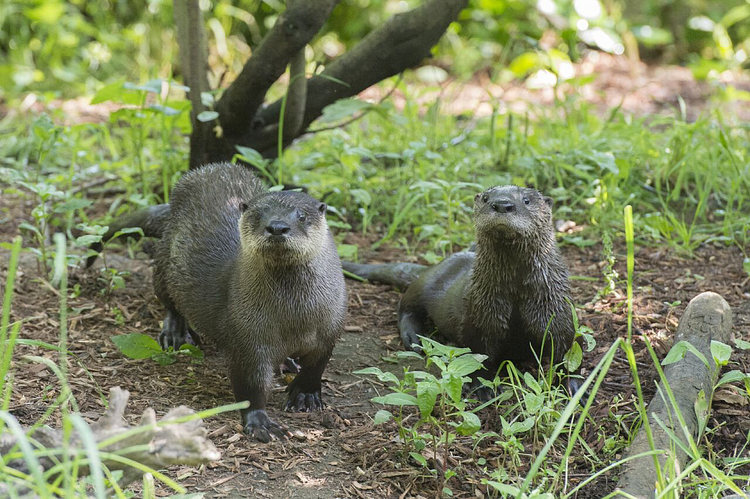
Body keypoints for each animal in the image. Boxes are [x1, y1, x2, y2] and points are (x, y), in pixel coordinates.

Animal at [88, 162, 347, 442]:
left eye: (301, 216)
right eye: (258, 215)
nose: (277, 226)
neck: (294, 318)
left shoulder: (329, 330)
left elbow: (316, 366)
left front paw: (306, 395)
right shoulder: (248, 338)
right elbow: (250, 384)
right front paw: (260, 422)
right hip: (164, 263)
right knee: (169, 300)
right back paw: (175, 333)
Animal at [343, 186, 580, 396]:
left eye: (527, 200)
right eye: (486, 198)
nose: (502, 204)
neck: (516, 294)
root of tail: (434, 266)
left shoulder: (557, 314)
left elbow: (566, 355)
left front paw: (573, 389)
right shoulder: (480, 318)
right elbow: (479, 357)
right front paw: (483, 388)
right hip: (423, 286)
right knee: (405, 307)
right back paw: (415, 338)